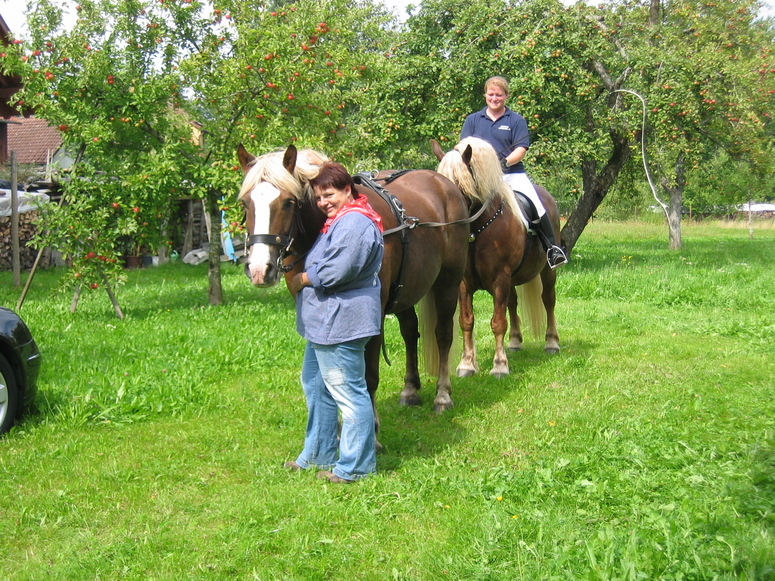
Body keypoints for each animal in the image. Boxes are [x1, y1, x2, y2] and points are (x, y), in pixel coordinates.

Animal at [434, 138, 560, 378]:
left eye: (459, 184)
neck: (477, 231)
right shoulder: (464, 284)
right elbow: (466, 321)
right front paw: (467, 364)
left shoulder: (500, 277)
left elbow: (498, 322)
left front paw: (500, 365)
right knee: (513, 302)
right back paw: (515, 342)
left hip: (548, 271)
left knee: (548, 300)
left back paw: (552, 343)